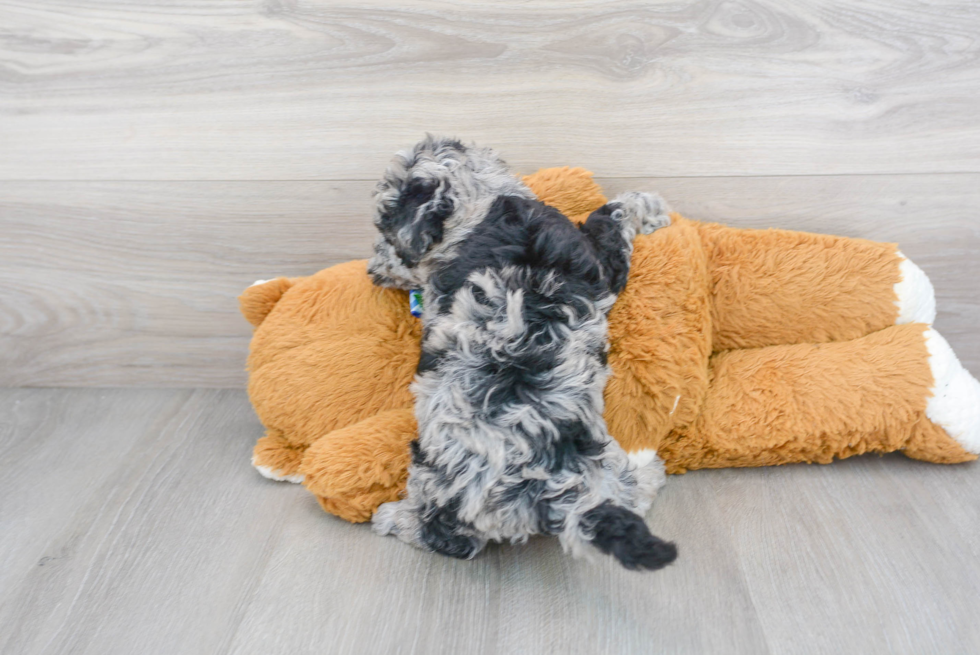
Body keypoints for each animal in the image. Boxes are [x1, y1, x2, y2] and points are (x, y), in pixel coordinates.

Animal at [364, 136, 676, 572]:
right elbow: (611, 214)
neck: (482, 201)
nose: (371, 270)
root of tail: (548, 486)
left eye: (383, 229)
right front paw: (651, 204)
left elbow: (611, 213)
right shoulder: (601, 261)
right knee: (449, 538)